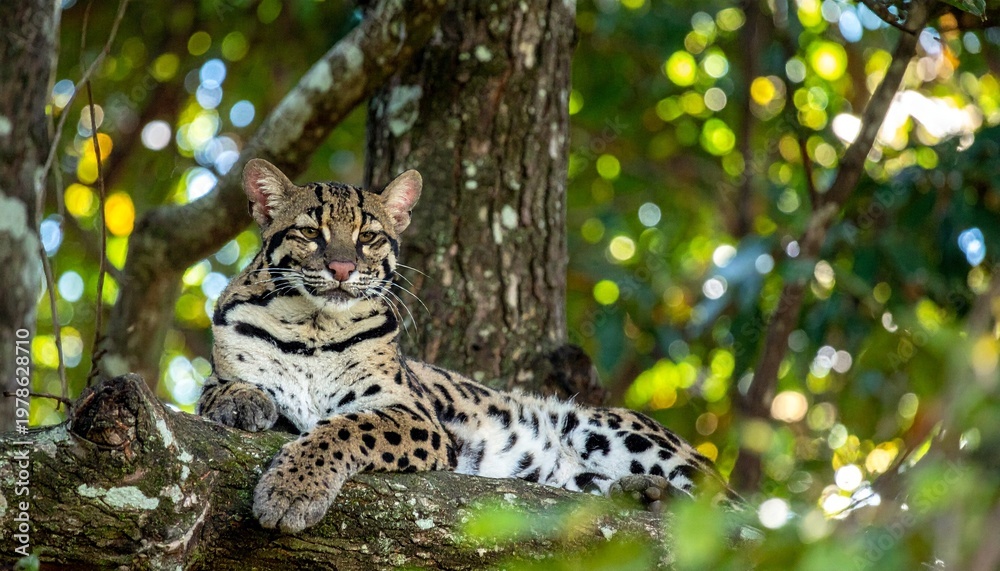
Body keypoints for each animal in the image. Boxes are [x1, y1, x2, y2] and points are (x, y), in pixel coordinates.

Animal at [197, 158, 739, 533]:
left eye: (369, 237)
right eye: (311, 231)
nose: (343, 268)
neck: (315, 327)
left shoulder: (412, 414)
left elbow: (345, 429)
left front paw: (291, 491)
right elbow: (215, 388)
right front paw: (243, 402)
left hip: (609, 427)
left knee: (730, 514)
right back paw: (643, 495)